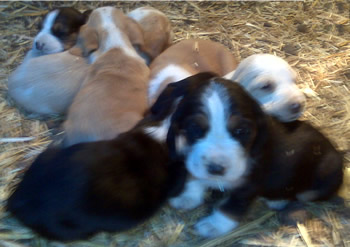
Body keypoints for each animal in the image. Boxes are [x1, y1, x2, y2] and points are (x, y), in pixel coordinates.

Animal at [157, 73, 344, 237]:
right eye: (194, 128)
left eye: (241, 130)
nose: (216, 169)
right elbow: (194, 179)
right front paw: (187, 197)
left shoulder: (249, 184)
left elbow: (232, 206)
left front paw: (214, 225)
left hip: (319, 180)